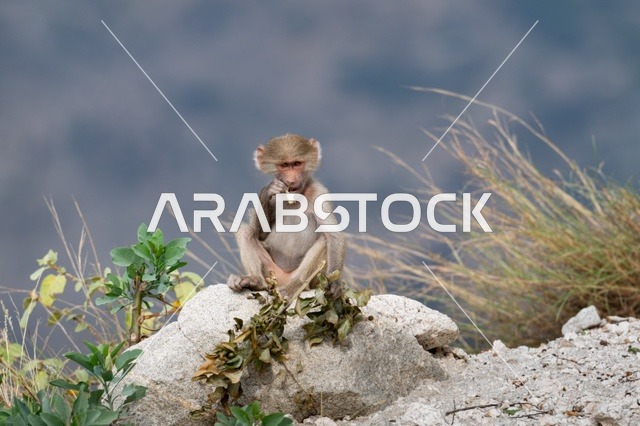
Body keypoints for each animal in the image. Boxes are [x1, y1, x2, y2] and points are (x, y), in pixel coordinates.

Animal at [227, 134, 346, 299]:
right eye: (284, 165)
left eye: (296, 164)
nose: (291, 180)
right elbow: (261, 234)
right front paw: (268, 190)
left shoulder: (319, 192)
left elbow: (334, 236)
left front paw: (334, 284)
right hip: (272, 275)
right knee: (246, 232)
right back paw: (254, 281)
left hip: (311, 280)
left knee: (324, 240)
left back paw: (296, 285)